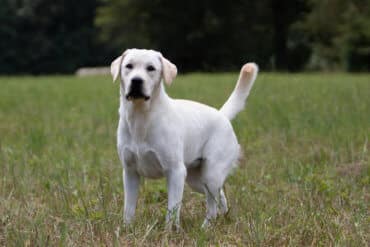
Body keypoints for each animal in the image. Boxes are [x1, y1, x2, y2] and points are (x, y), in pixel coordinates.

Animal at [110, 47, 258, 228]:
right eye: (128, 66)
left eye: (151, 68)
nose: (136, 81)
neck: (141, 118)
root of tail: (222, 115)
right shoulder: (130, 172)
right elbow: (129, 209)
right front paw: (127, 228)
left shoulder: (175, 171)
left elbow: (172, 210)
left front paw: (169, 231)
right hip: (197, 180)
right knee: (220, 195)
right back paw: (224, 217)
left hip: (211, 174)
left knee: (212, 206)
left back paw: (205, 228)